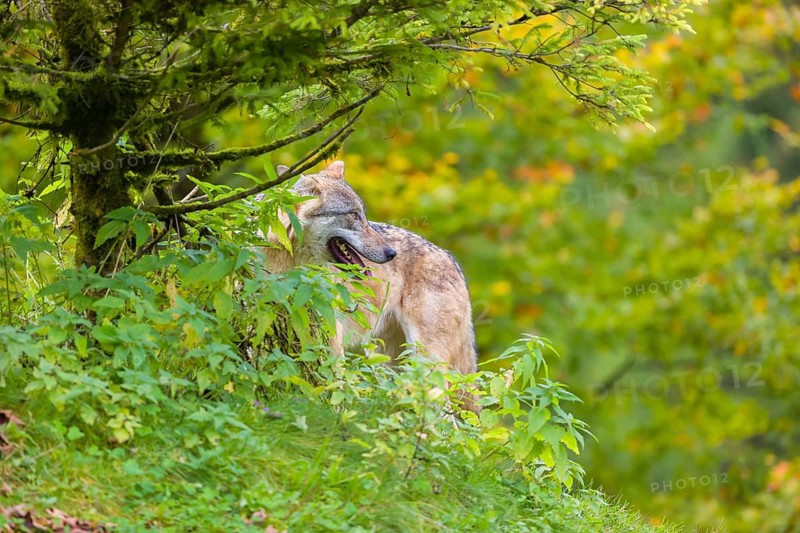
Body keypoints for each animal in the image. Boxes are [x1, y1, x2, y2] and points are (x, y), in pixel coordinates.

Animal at [259, 160, 479, 385]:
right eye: (354, 215)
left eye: (363, 215)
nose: (391, 253)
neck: (288, 261)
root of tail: (451, 259)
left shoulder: (332, 332)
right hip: (387, 360)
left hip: (425, 358)